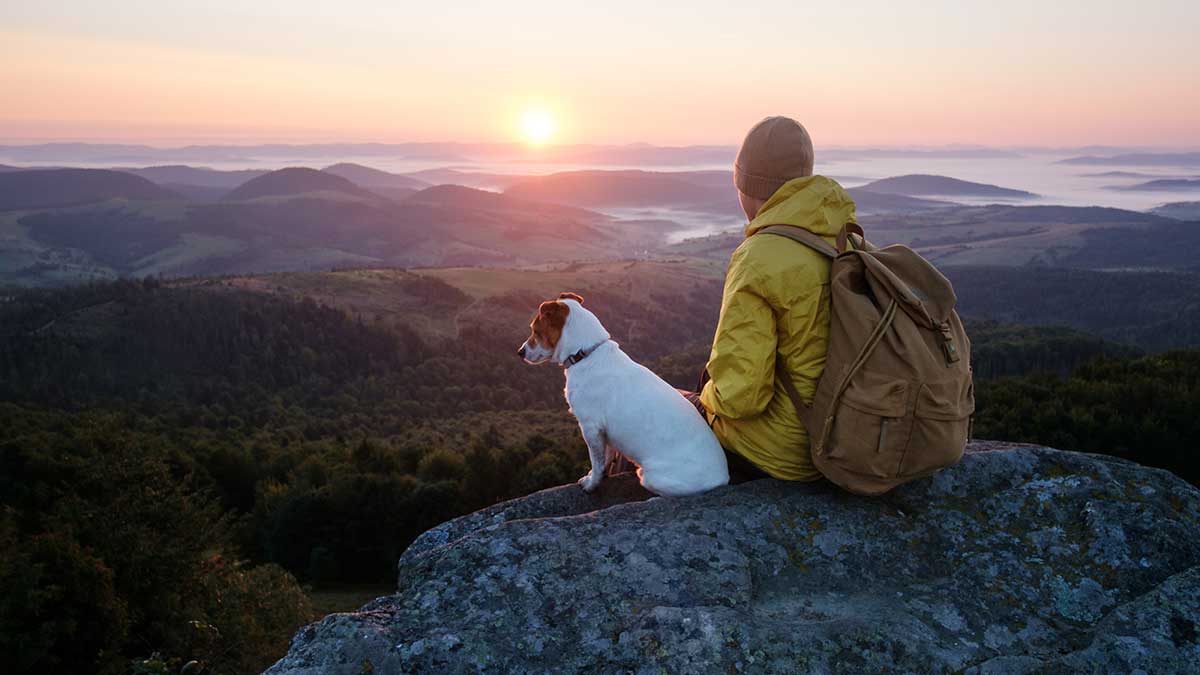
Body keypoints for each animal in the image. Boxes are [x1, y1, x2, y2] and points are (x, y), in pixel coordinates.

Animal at [518, 290, 729, 494]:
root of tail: (723, 479)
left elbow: (596, 460)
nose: (520, 352)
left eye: (535, 330)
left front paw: (592, 483)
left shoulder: (590, 427)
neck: (586, 354)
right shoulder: (605, 432)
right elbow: (605, 457)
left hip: (650, 475)